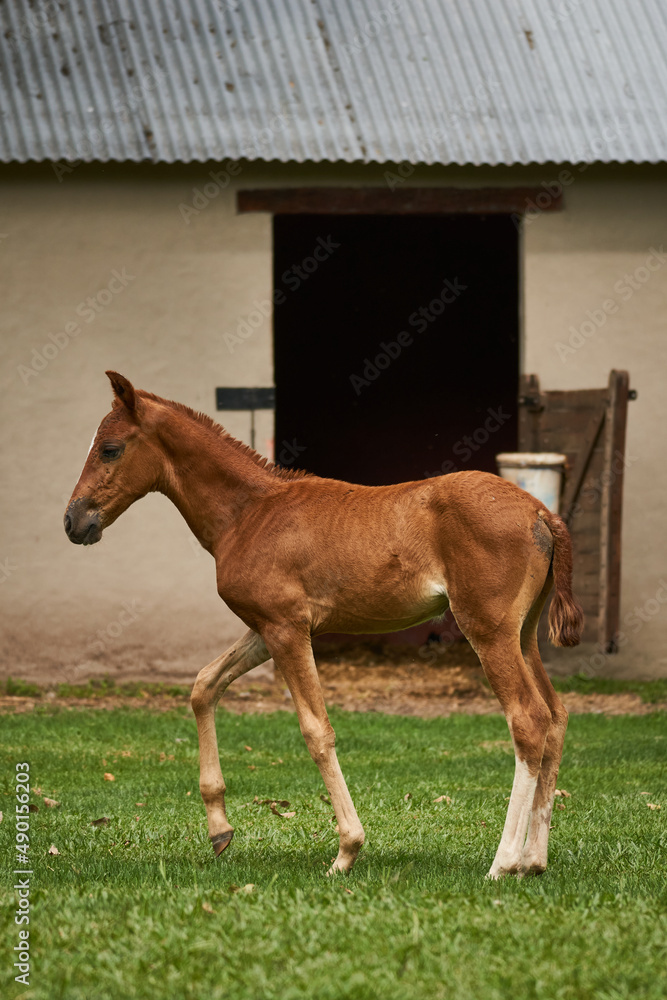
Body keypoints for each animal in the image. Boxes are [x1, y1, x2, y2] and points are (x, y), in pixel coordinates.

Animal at [64, 374, 584, 876]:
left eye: (110, 448)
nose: (73, 521)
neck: (248, 512)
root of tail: (541, 511)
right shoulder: (267, 629)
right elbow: (204, 684)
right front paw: (219, 829)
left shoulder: (287, 630)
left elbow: (316, 731)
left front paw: (347, 851)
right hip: (523, 634)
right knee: (556, 715)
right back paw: (534, 860)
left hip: (489, 630)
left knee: (529, 719)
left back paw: (503, 862)